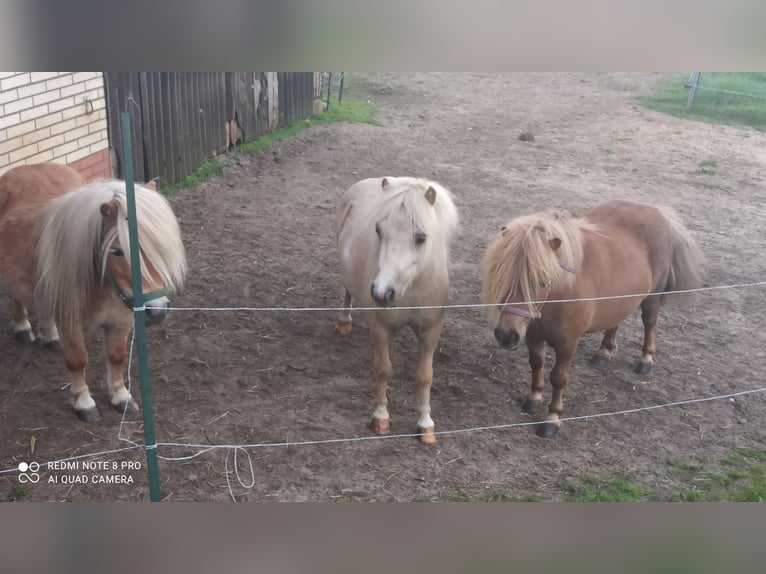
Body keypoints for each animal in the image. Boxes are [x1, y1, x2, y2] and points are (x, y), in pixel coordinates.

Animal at [0, 163, 186, 424]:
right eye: (117, 251)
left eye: (161, 246)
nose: (157, 312)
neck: (101, 286)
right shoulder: (70, 322)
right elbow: (77, 361)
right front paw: (83, 403)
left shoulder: (121, 319)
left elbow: (116, 356)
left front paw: (121, 397)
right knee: (17, 296)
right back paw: (23, 328)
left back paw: (50, 336)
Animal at [334, 177, 456, 446]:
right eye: (379, 231)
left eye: (421, 237)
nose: (382, 292)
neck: (410, 291)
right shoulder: (380, 329)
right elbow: (383, 370)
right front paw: (381, 418)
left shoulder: (431, 332)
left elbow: (425, 375)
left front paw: (425, 424)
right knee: (347, 290)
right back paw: (344, 321)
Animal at [484, 200, 704, 438]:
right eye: (501, 276)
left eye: (542, 281)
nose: (506, 335)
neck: (559, 295)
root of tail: (657, 211)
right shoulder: (533, 337)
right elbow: (536, 365)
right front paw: (533, 398)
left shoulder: (568, 343)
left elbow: (558, 378)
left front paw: (552, 419)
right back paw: (604, 352)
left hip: (651, 299)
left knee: (649, 323)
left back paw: (645, 360)